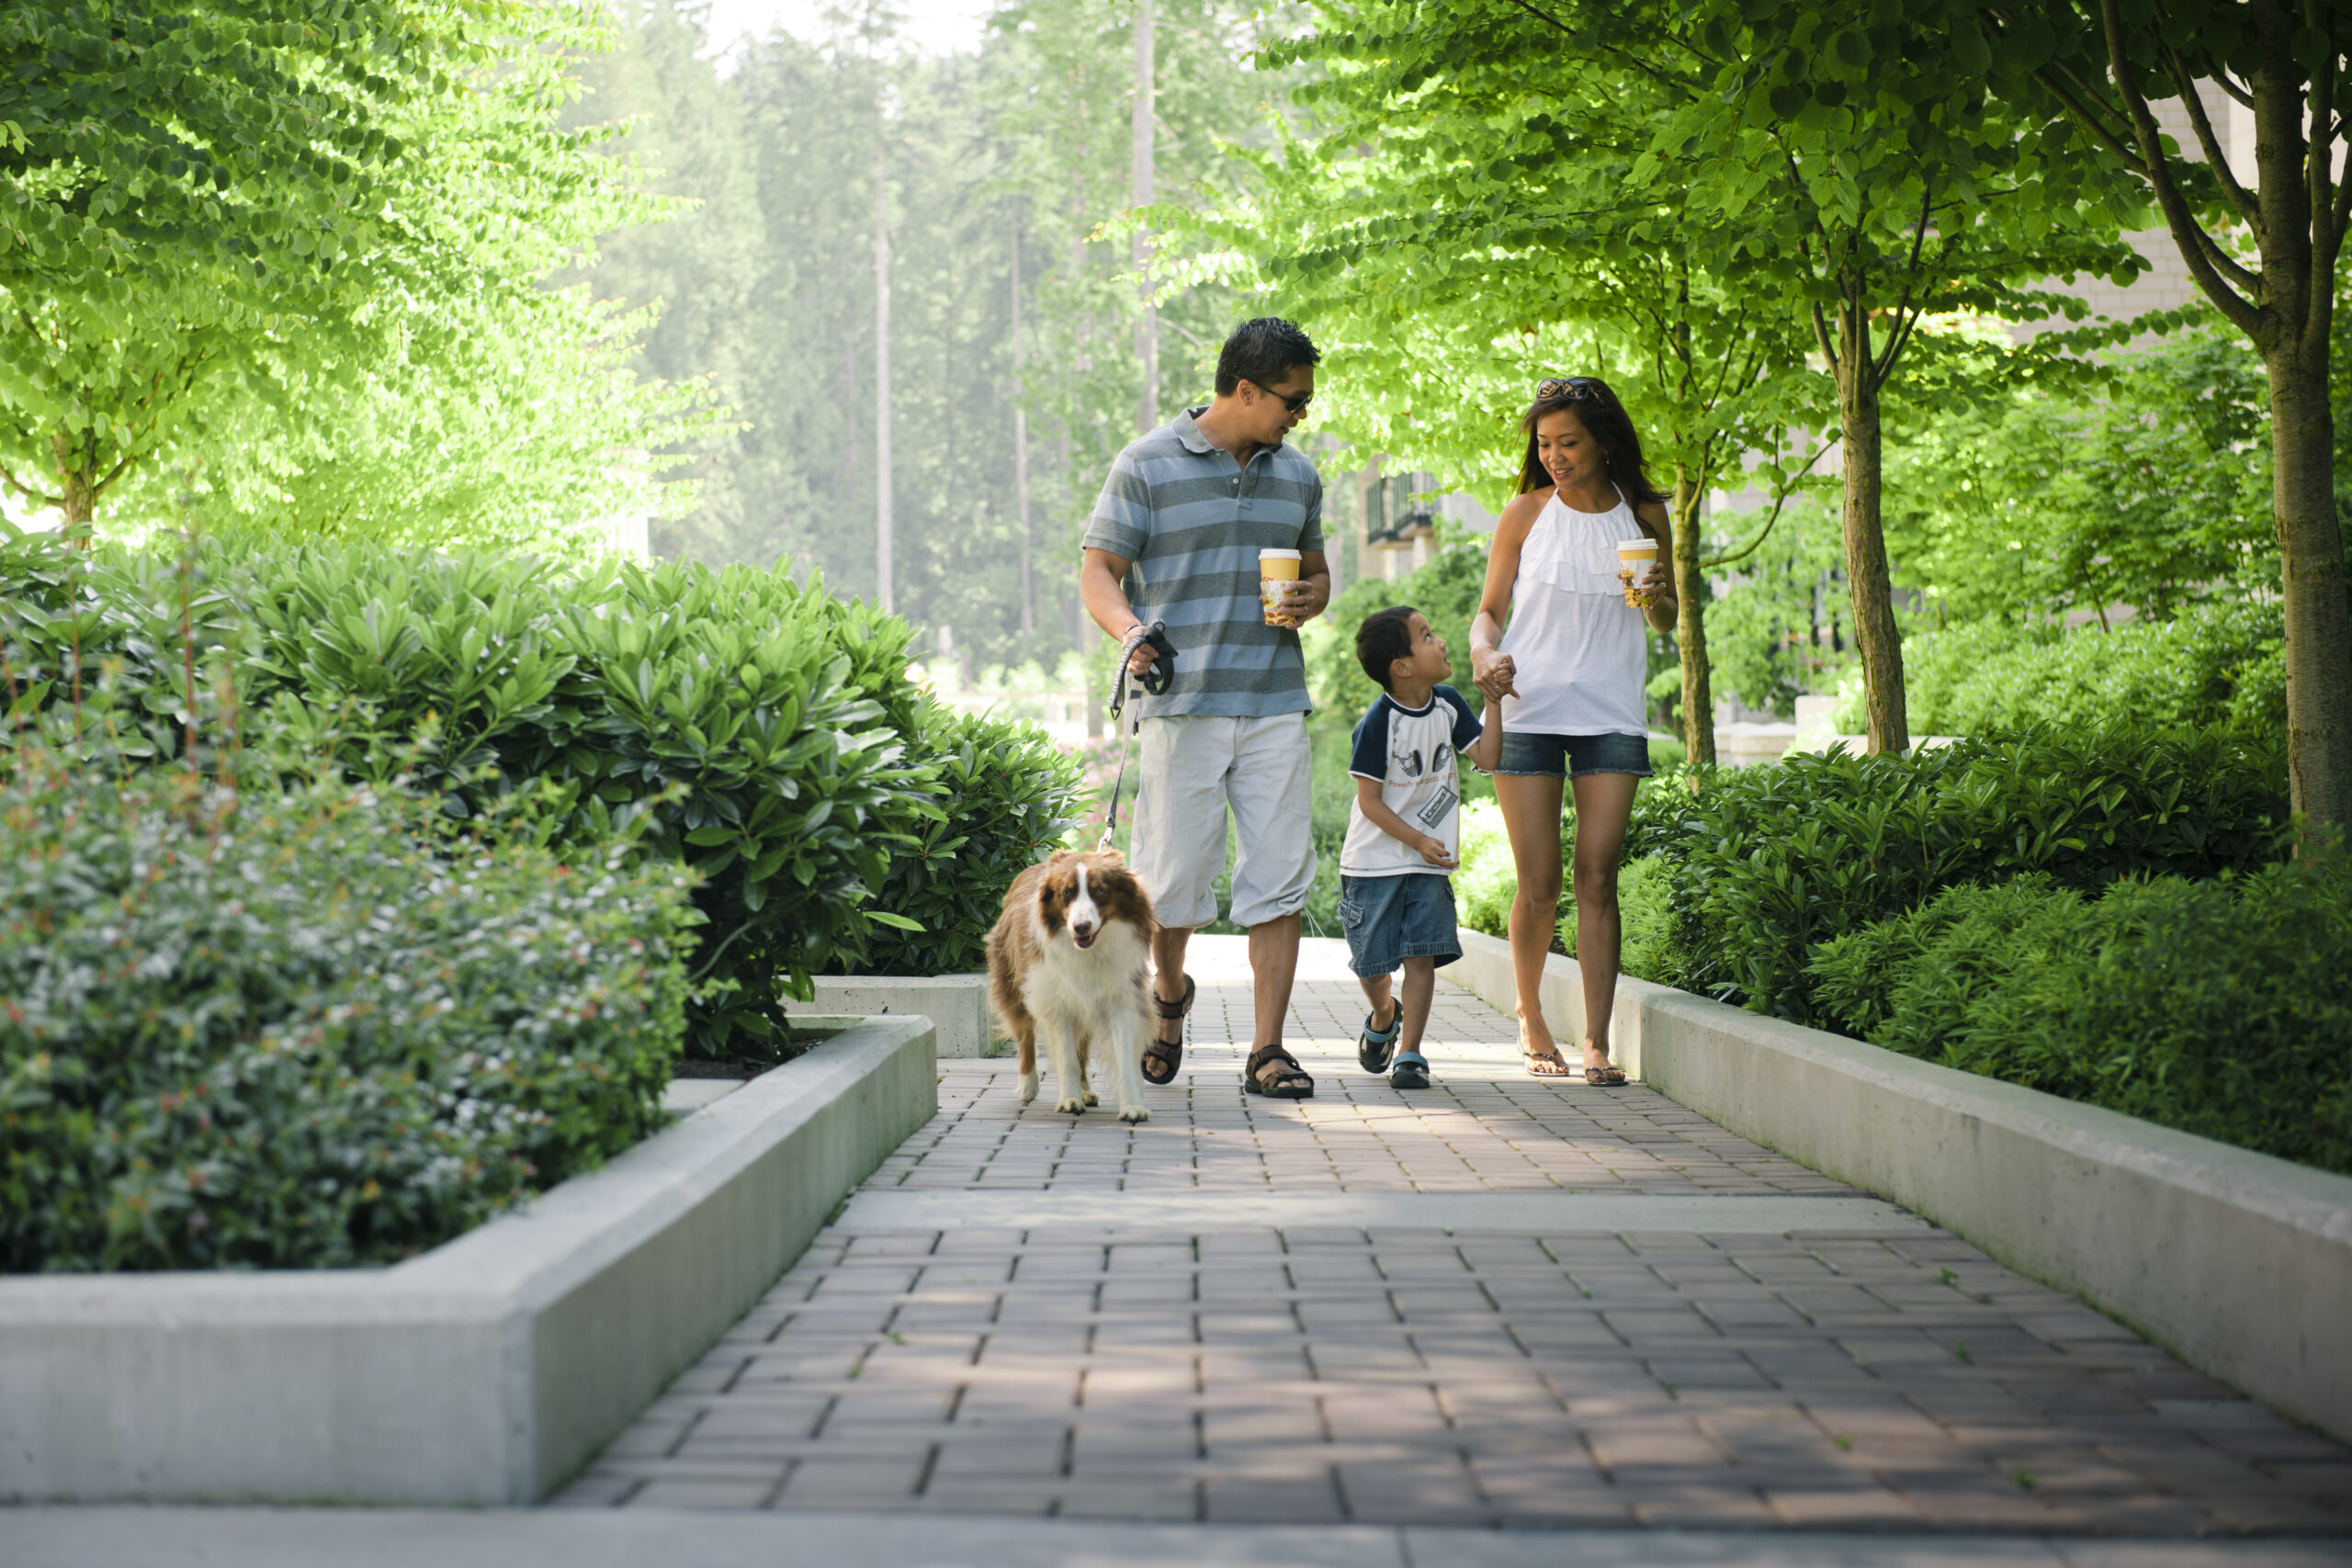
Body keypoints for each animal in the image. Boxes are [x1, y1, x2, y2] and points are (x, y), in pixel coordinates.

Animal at [978, 851, 1152, 1123]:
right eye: (1066, 893)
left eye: (1100, 891)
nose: (1081, 927)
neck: (1089, 950)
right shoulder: (1056, 1000)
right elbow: (1066, 1056)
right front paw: (1070, 1101)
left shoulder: (1121, 995)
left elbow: (1124, 1056)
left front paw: (1132, 1107)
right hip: (1014, 977)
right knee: (1025, 1034)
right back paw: (1028, 1086)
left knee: (1081, 1047)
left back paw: (1086, 1090)